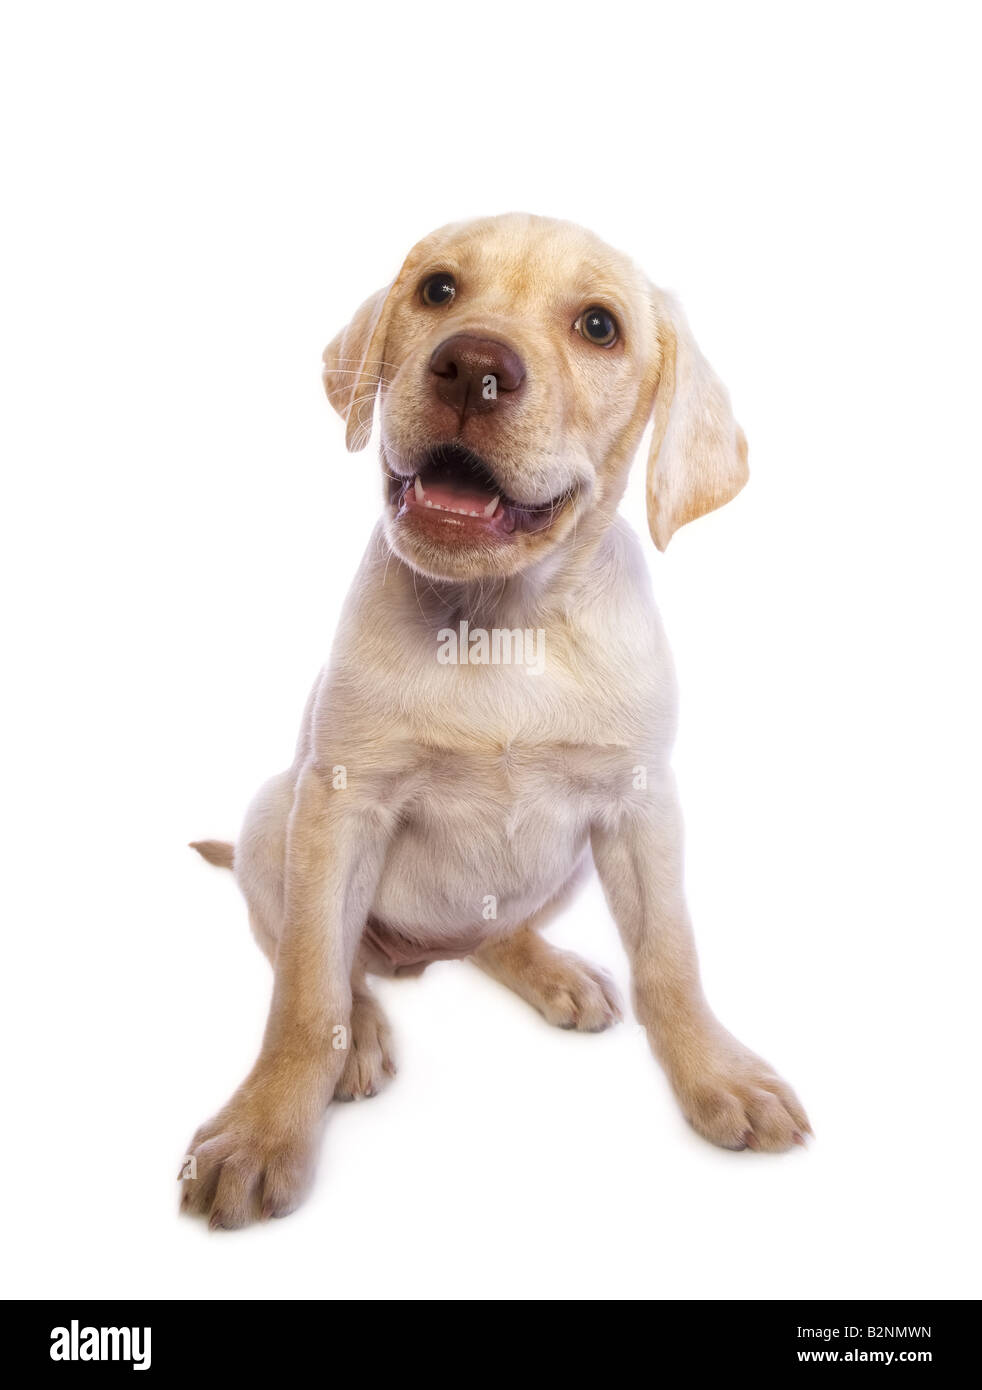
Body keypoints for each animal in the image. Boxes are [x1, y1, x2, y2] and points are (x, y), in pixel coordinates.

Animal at [187, 214, 806, 1228]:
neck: (503, 622)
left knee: (490, 937)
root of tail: (419, 956)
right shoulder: (341, 803)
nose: (471, 365)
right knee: (318, 961)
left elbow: (671, 958)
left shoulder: (640, 807)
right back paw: (361, 1032)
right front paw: (265, 1127)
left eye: (599, 326)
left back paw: (549, 971)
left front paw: (718, 1074)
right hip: (275, 815)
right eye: (437, 290)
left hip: (564, 867)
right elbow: (305, 994)